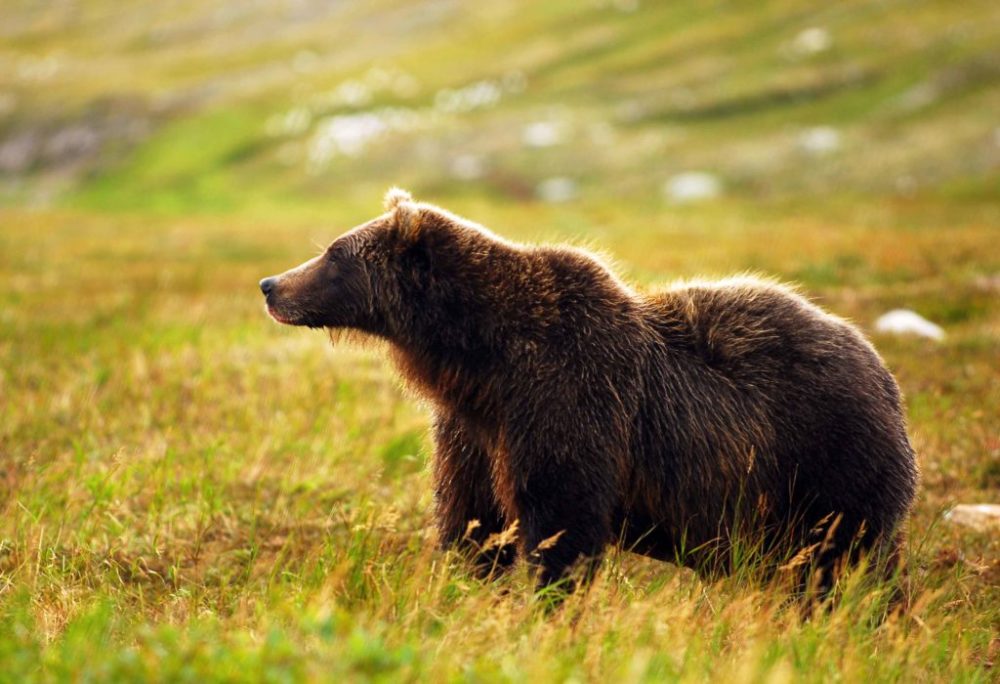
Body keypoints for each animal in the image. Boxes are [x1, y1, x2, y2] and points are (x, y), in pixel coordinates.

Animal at [260, 190, 920, 596]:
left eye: (333, 254)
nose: (271, 284)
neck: (481, 357)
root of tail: (885, 374)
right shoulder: (475, 426)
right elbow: (472, 518)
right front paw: (466, 584)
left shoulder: (569, 396)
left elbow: (562, 518)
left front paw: (549, 602)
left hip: (824, 459)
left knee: (842, 560)